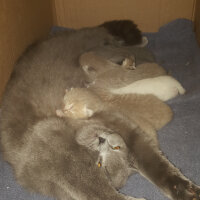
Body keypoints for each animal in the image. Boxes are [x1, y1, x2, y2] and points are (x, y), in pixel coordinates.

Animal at [0, 19, 199, 200]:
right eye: (102, 160)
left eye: (117, 146)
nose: (104, 138)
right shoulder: (56, 151)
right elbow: (93, 188)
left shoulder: (124, 127)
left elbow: (154, 162)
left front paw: (185, 190)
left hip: (108, 47)